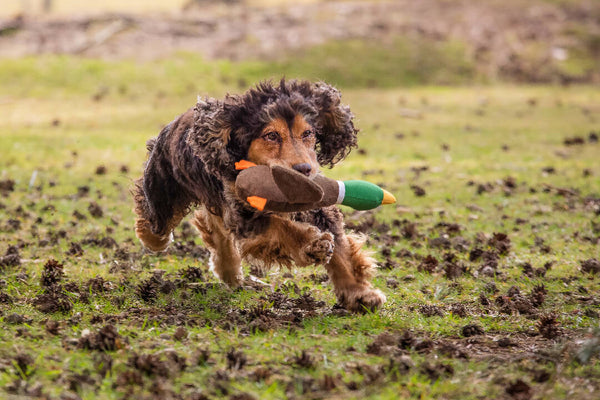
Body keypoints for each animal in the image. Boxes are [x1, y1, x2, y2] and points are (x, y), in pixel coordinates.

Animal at [132, 79, 386, 312]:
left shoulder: (317, 205)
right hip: (162, 191)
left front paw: (359, 294)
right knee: (155, 220)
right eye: (271, 135)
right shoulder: (245, 215)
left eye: (308, 133)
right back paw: (154, 238)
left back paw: (231, 274)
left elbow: (341, 250)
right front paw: (312, 245)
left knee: (218, 231)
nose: (305, 169)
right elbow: (279, 227)